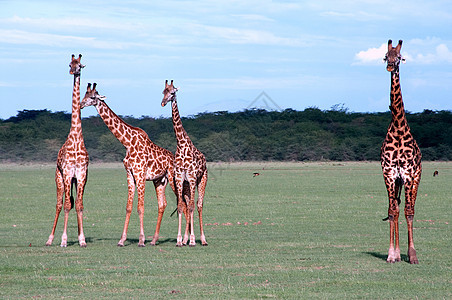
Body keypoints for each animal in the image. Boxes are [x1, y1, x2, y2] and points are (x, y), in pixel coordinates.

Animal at [80, 82, 176, 246]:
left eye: (92, 97)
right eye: (85, 95)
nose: (80, 105)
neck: (127, 143)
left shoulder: (140, 174)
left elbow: (140, 207)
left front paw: (141, 240)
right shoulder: (130, 174)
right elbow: (129, 207)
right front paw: (122, 240)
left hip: (174, 178)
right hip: (160, 180)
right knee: (162, 204)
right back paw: (155, 239)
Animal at [161, 79, 208, 246]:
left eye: (172, 92)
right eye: (163, 92)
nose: (163, 103)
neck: (181, 144)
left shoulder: (193, 177)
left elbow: (193, 206)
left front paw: (193, 239)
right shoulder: (180, 178)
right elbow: (181, 206)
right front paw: (180, 239)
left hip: (202, 179)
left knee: (199, 205)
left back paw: (202, 239)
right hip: (188, 185)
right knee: (188, 204)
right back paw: (187, 238)